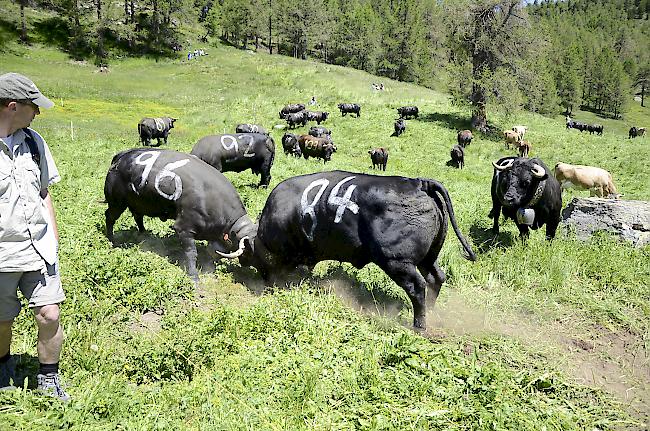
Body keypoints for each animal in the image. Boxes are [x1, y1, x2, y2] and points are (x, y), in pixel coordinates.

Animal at [102, 148, 256, 286]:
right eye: (252, 251)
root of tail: (121, 156)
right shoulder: (184, 229)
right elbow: (191, 254)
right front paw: (194, 278)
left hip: (138, 202)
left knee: (137, 216)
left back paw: (144, 234)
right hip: (117, 203)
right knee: (109, 217)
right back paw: (112, 241)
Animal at [215, 170, 474, 330]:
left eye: (251, 256)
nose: (264, 280)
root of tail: (418, 183)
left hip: (398, 262)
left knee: (418, 287)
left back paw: (419, 325)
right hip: (429, 257)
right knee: (436, 278)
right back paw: (432, 311)